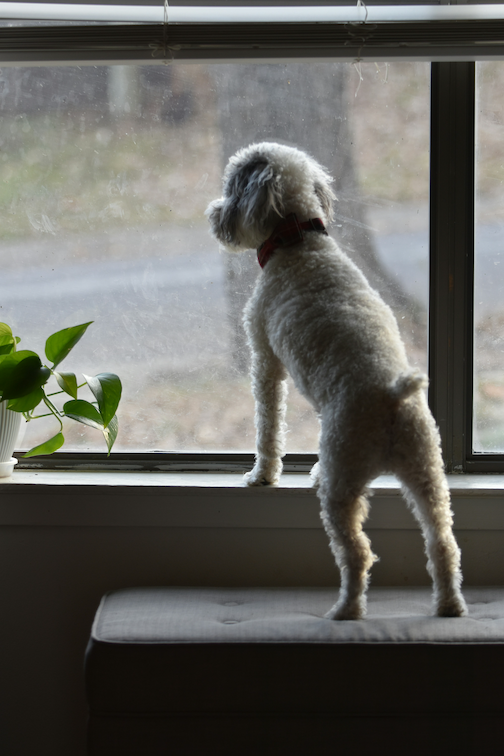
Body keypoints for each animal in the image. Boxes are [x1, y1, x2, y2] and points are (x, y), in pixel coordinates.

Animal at [207, 142, 466, 620]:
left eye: (233, 184)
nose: (216, 214)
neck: (298, 241)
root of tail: (390, 399)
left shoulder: (265, 360)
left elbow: (268, 426)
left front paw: (261, 475)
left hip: (343, 486)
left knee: (357, 553)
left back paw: (346, 610)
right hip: (427, 477)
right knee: (443, 544)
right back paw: (449, 606)